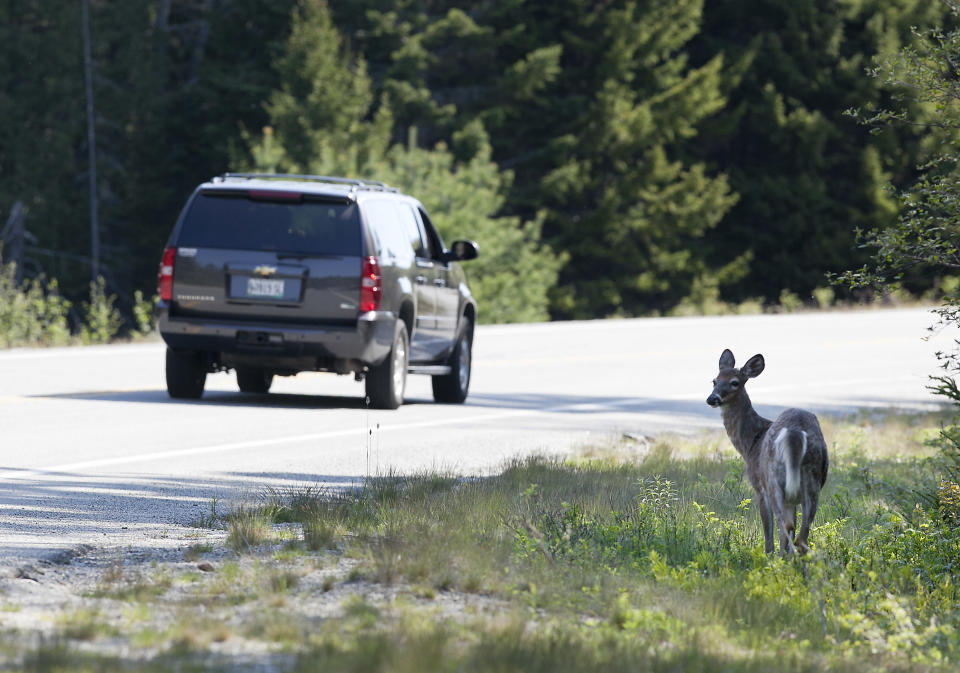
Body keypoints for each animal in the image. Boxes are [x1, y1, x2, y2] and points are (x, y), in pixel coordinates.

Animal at [700, 350, 828, 552]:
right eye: (714, 380)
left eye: (735, 382)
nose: (712, 399)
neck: (751, 442)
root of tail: (795, 433)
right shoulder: (792, 499)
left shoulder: (759, 487)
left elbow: (769, 534)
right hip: (812, 480)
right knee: (800, 537)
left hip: (773, 480)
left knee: (785, 529)